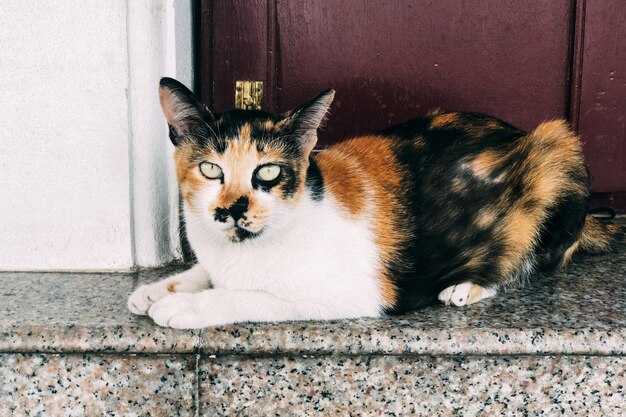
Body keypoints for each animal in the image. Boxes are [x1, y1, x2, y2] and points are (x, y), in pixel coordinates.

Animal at [125, 76, 620, 326]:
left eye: (268, 172)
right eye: (211, 169)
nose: (232, 209)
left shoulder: (355, 292)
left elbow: (255, 297)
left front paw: (185, 306)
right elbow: (206, 272)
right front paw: (158, 289)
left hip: (557, 147)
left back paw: (467, 286)